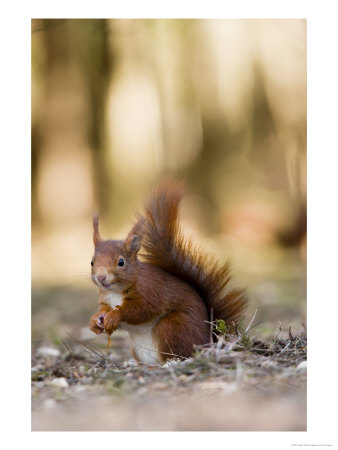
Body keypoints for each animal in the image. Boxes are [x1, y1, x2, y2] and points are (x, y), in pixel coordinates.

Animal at [88, 181, 246, 364]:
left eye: (121, 262)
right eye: (92, 262)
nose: (101, 277)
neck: (116, 291)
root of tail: (209, 343)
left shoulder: (150, 290)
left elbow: (141, 310)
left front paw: (115, 315)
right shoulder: (105, 297)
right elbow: (104, 308)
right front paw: (95, 320)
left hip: (171, 327)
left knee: (179, 353)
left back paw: (169, 363)